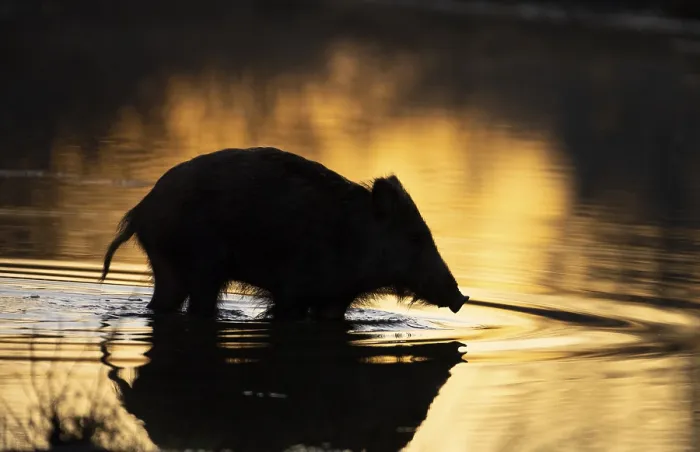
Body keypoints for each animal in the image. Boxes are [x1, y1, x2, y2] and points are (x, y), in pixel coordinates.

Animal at [99, 147, 469, 320]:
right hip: (198, 265)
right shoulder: (292, 291)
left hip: (169, 268)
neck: (352, 236)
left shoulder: (334, 299)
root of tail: (140, 211)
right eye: (415, 237)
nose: (461, 298)